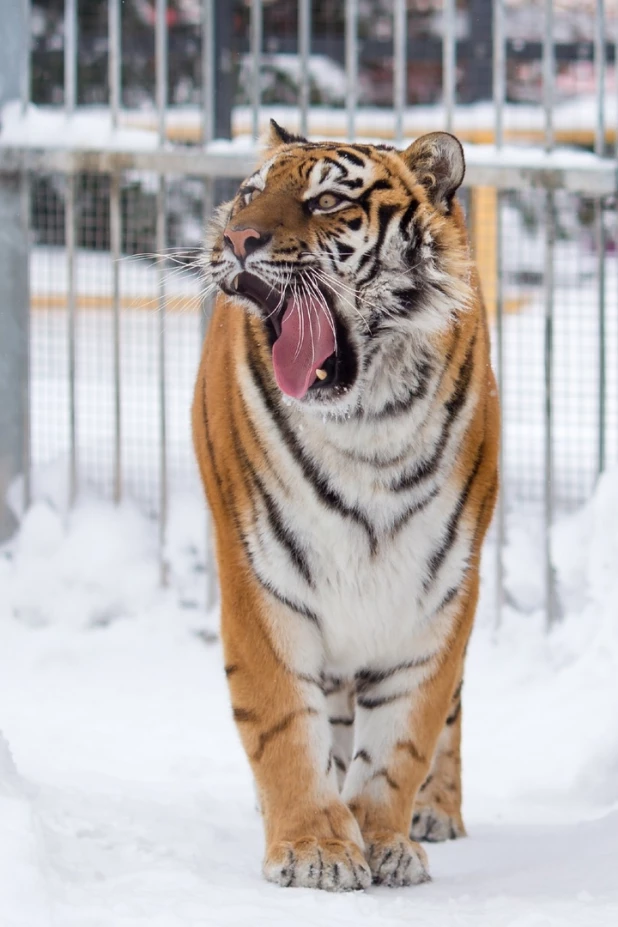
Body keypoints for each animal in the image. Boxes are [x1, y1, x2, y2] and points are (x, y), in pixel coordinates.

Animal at [190, 121, 498, 892]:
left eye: (329, 200)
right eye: (249, 194)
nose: (237, 239)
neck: (368, 430)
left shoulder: (437, 592)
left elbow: (403, 738)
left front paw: (384, 837)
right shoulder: (263, 584)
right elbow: (282, 725)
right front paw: (315, 847)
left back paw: (437, 813)